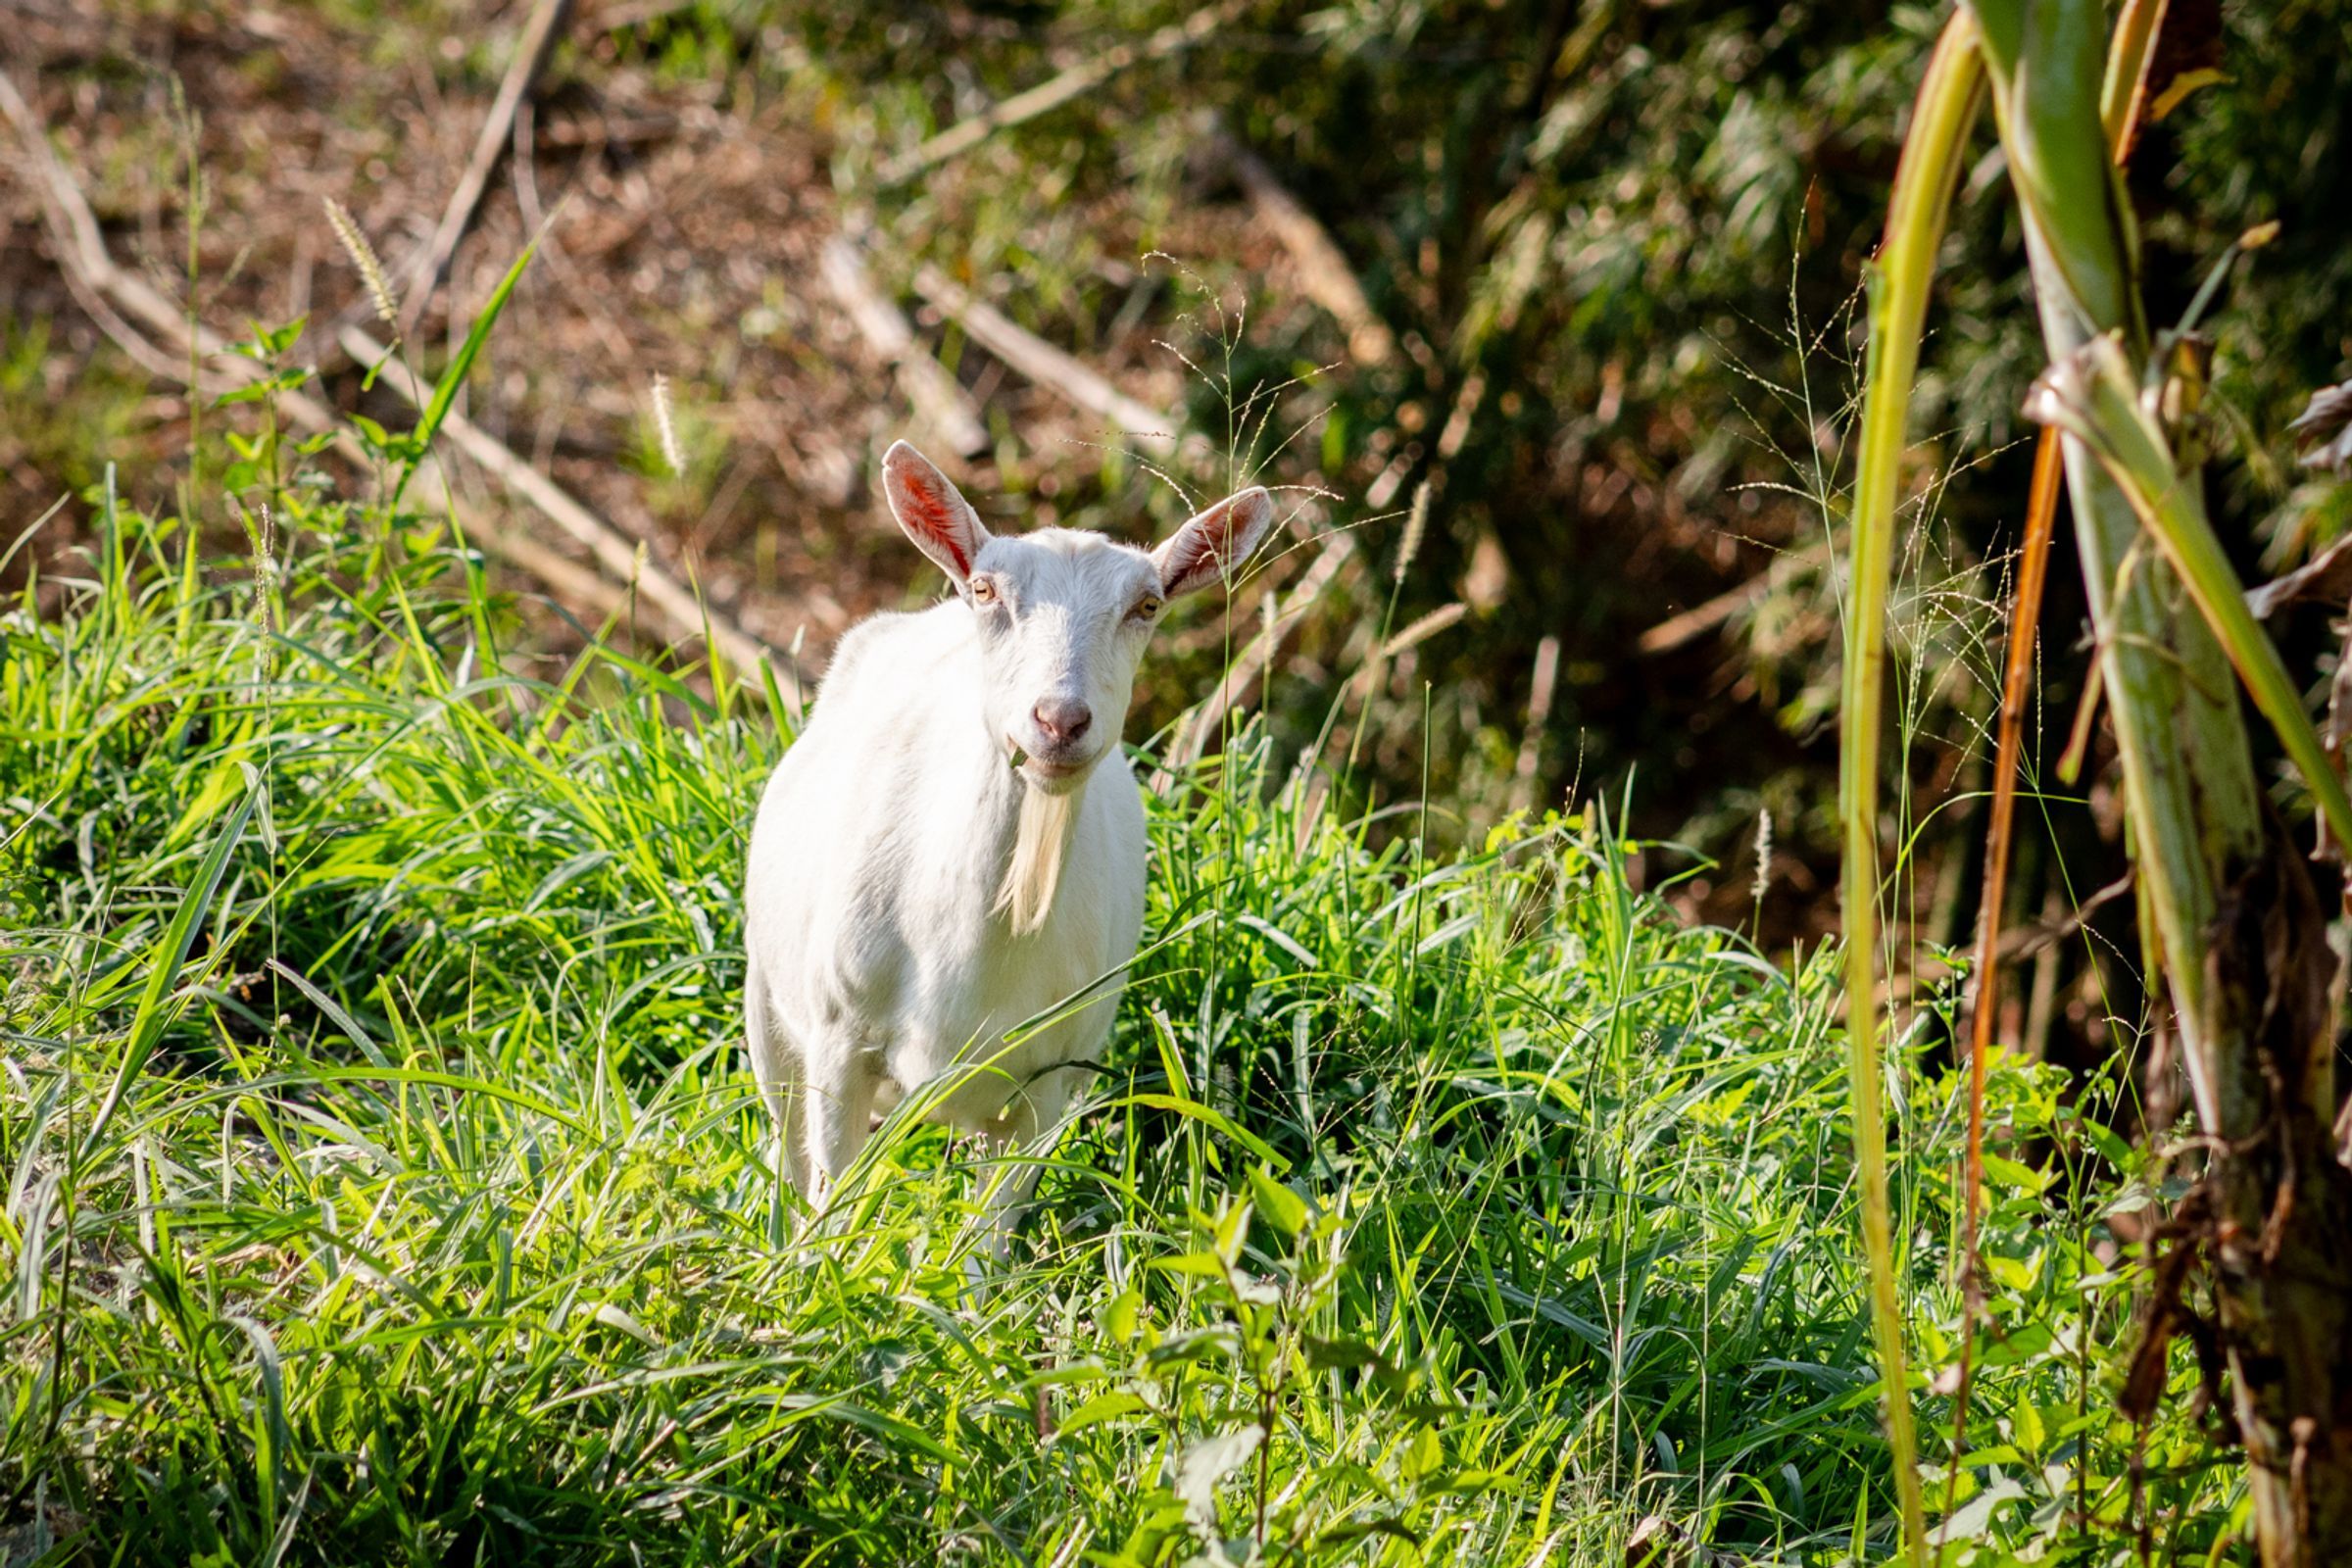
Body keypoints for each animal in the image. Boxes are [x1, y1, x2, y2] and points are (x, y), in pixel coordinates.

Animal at [742, 440, 1274, 1240]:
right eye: (988, 590)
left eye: (1147, 606)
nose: (1059, 719)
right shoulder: (839, 1038)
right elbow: (832, 1202)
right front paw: (817, 1268)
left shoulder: (1049, 1081)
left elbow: (984, 1241)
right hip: (768, 993)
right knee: (785, 1146)